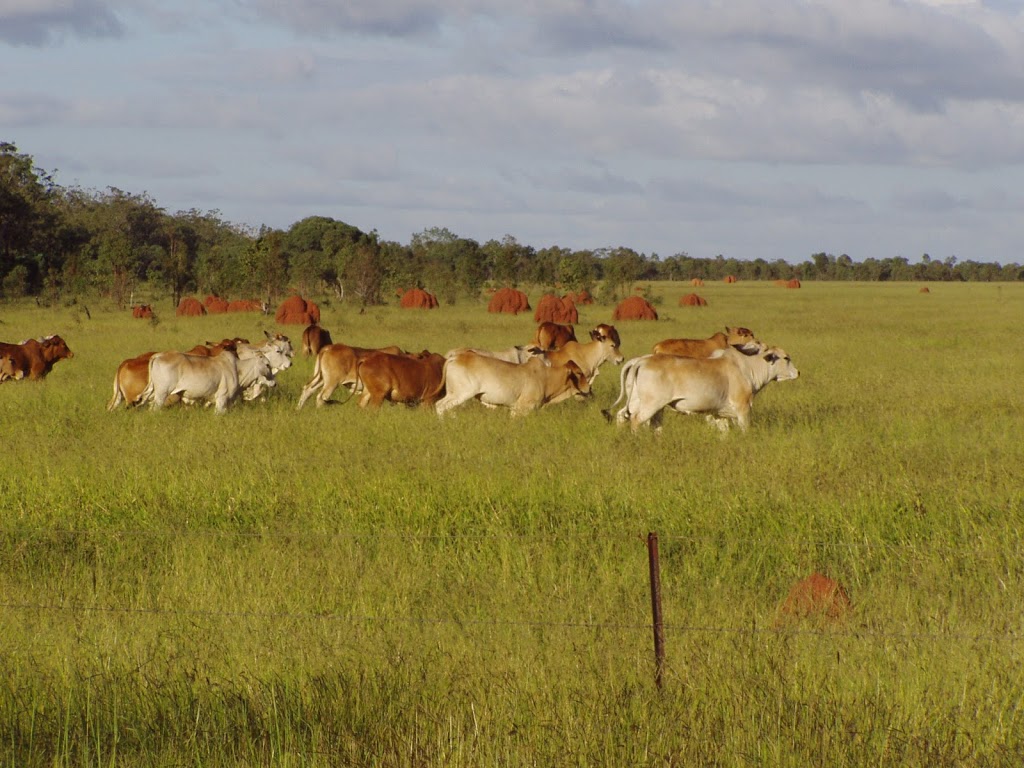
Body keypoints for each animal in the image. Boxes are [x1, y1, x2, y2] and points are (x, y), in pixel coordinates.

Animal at [434, 352, 593, 417]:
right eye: (579, 373)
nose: (589, 389)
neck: (546, 377)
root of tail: (456, 357)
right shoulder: (521, 409)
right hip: (461, 394)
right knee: (440, 406)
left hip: (454, 394)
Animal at [598, 344, 798, 430]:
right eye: (786, 358)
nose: (798, 372)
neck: (747, 367)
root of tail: (641, 361)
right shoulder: (743, 410)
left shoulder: (719, 414)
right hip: (650, 405)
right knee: (635, 420)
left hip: (645, 404)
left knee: (630, 418)